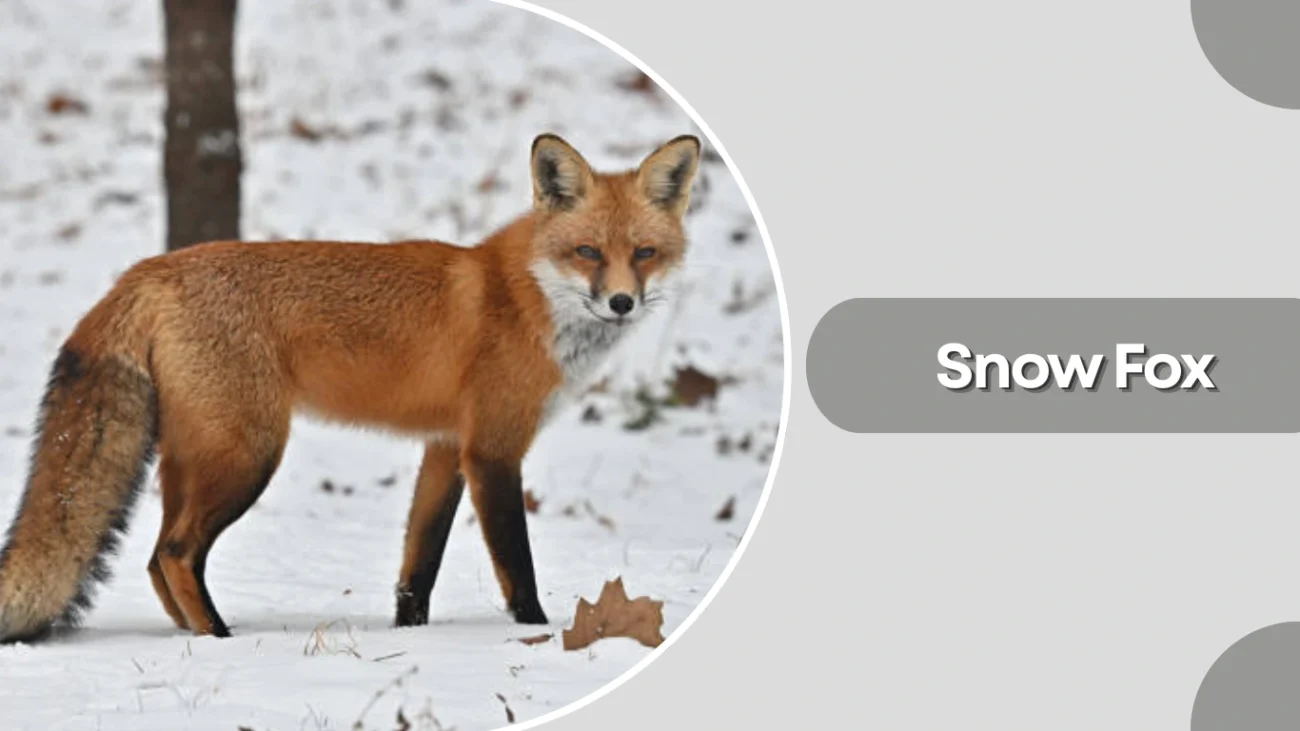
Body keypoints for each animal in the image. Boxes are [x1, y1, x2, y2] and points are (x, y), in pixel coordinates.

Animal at [0, 133, 701, 642]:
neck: (526, 298)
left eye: (643, 253)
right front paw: (535, 634)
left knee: (154, 559)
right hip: (248, 456)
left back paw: (190, 636)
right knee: (175, 553)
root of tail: (149, 269)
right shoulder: (492, 450)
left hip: (194, 457)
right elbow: (517, 569)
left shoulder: (444, 448)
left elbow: (418, 568)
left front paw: (411, 636)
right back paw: (219, 638)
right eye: (587, 252)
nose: (620, 303)